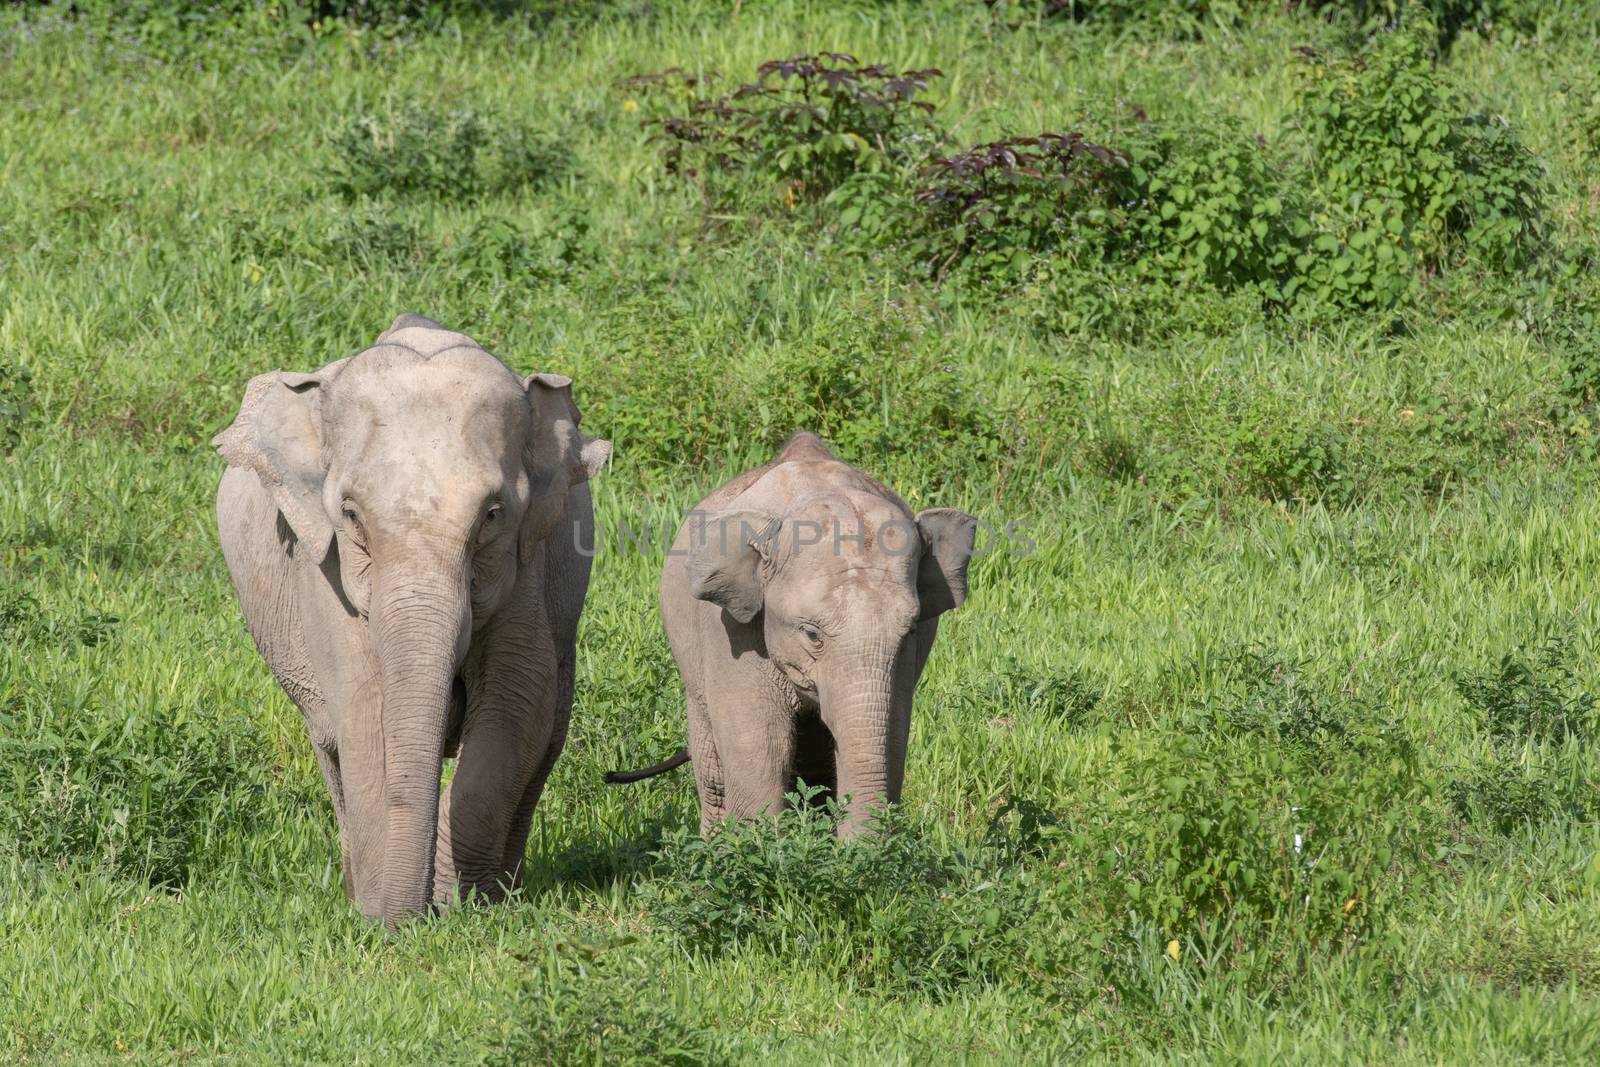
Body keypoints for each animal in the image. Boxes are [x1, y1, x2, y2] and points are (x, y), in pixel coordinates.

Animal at [216, 315, 608, 927]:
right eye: (350, 514)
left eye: (492, 515)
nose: (411, 920)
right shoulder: (323, 569)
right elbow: (364, 712)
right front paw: (386, 918)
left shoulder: (529, 565)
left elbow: (515, 706)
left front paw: (461, 907)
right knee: (330, 743)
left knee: (547, 732)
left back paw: (503, 890)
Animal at [608, 435, 972, 831]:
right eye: (811, 634)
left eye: (909, 632)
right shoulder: (730, 629)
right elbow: (761, 746)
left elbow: (891, 734)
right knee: (715, 774)